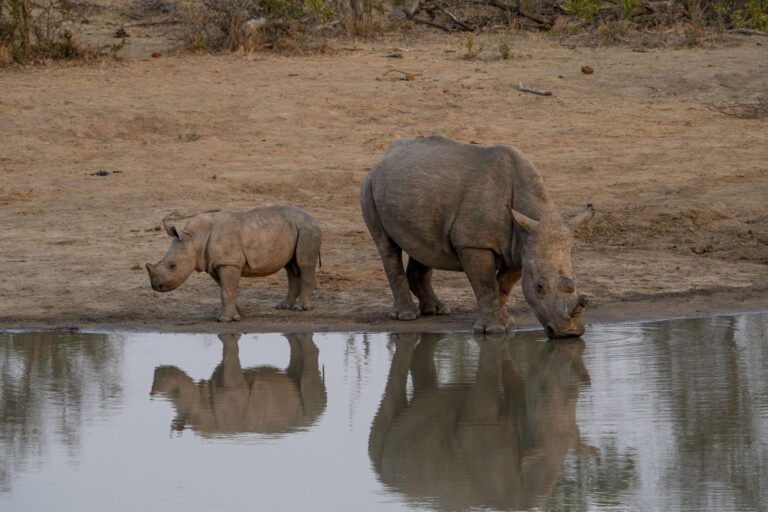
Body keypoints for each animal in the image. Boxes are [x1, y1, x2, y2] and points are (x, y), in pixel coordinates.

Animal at [145, 205, 321, 322]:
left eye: (172, 266)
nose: (157, 287)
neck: (195, 238)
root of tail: (313, 218)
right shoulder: (216, 264)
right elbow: (226, 289)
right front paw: (237, 315)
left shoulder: (229, 263)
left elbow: (226, 290)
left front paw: (225, 319)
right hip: (295, 229)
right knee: (291, 267)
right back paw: (284, 307)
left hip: (307, 229)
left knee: (303, 264)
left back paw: (301, 309)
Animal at [361, 135, 593, 337]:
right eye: (539, 288)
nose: (569, 334)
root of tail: (384, 156)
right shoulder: (475, 244)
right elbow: (486, 285)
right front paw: (494, 330)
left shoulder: (520, 245)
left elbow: (503, 285)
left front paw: (507, 323)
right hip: (369, 186)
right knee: (386, 246)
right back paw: (407, 316)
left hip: (413, 190)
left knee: (424, 248)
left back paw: (437, 310)